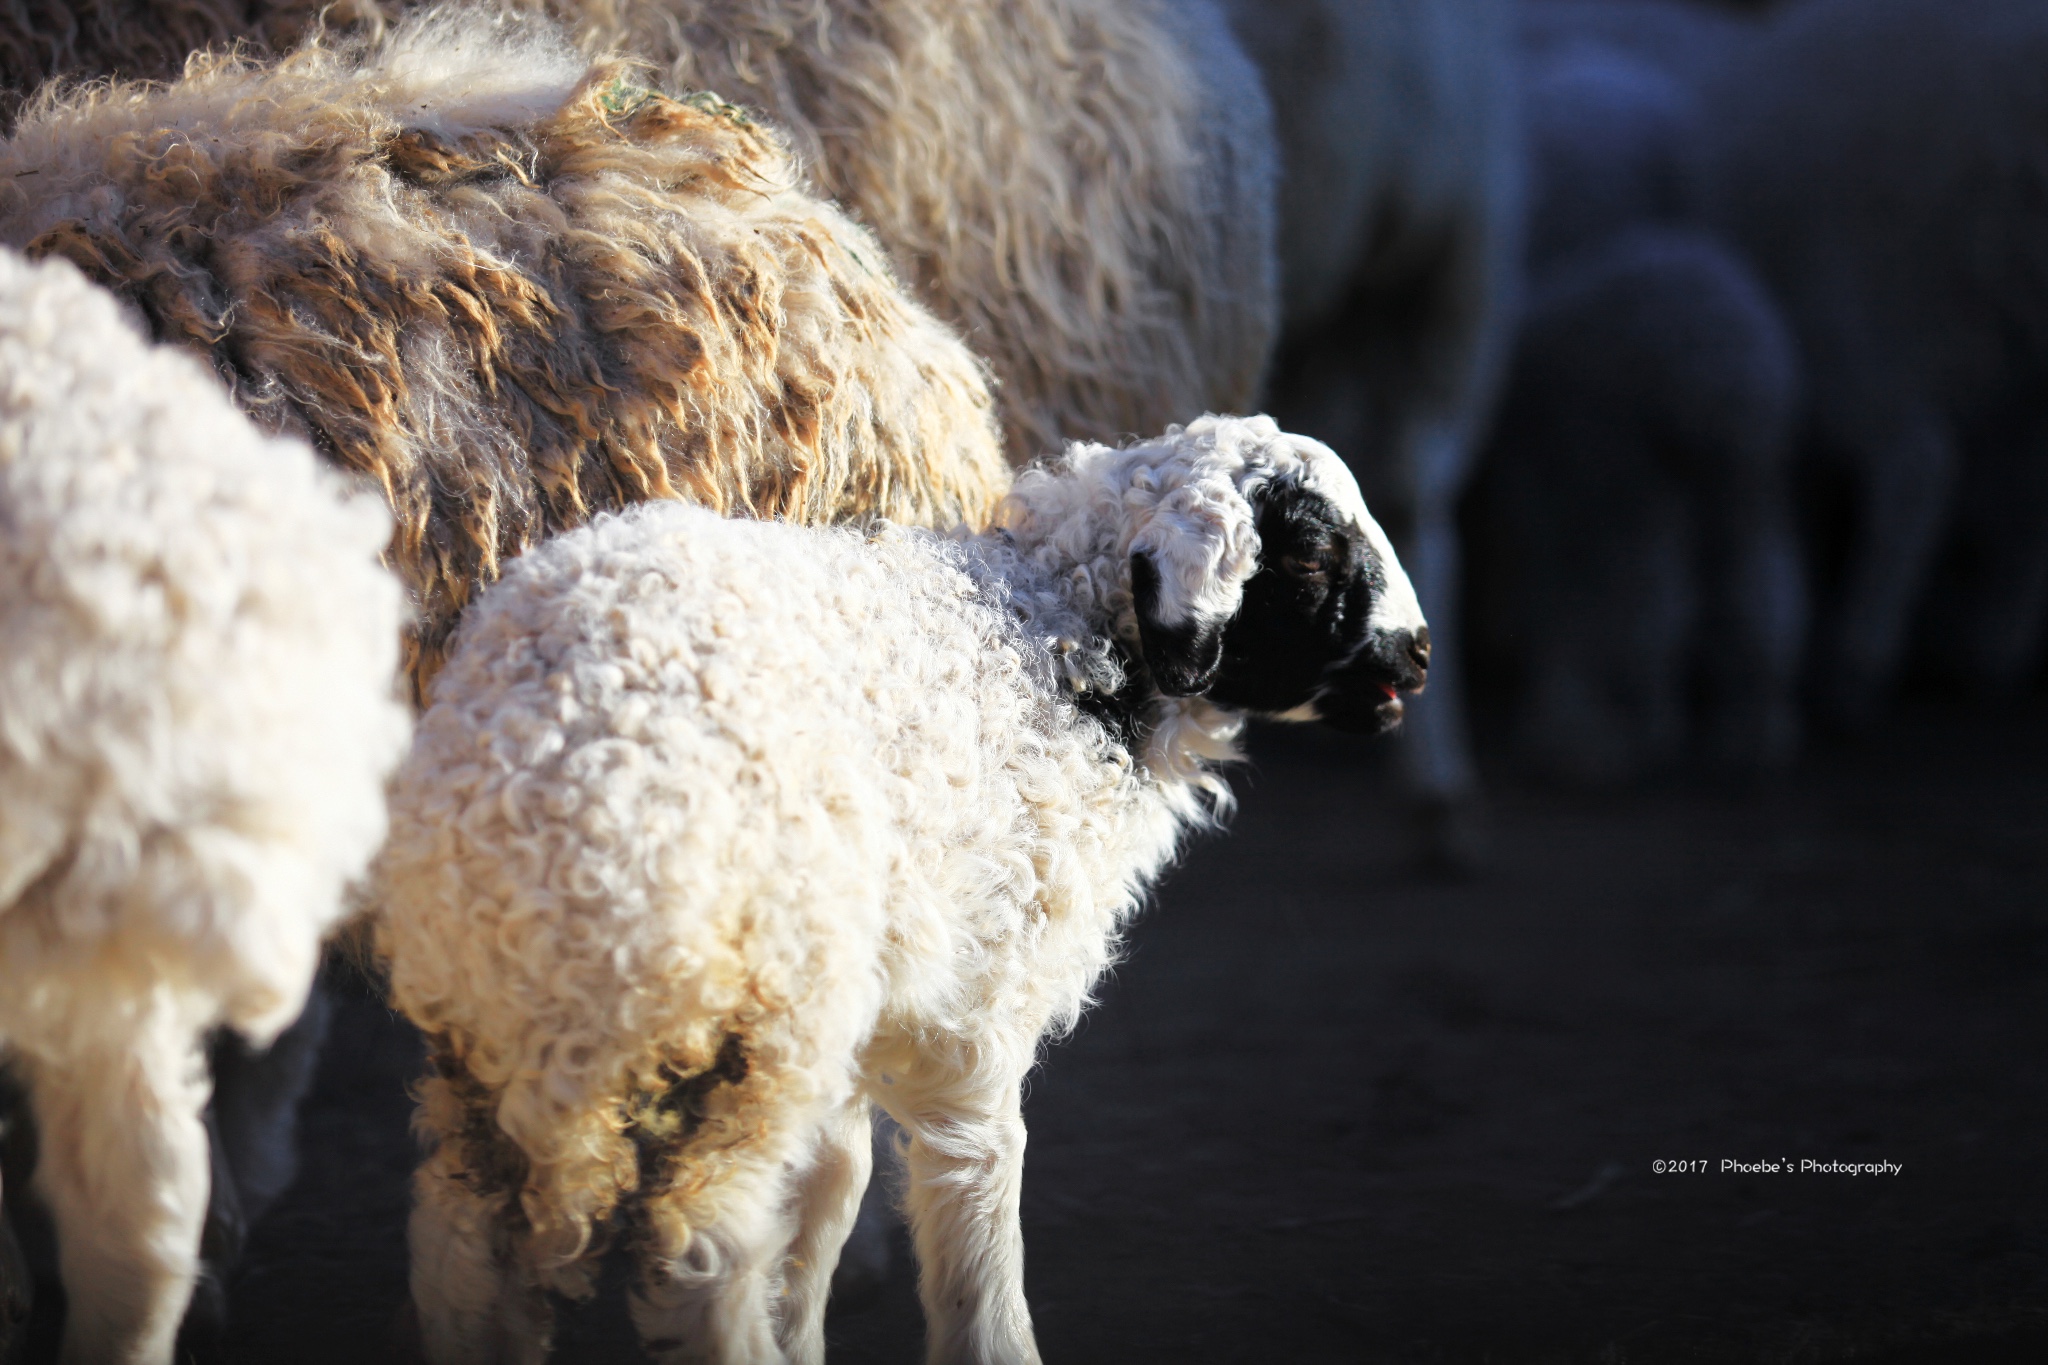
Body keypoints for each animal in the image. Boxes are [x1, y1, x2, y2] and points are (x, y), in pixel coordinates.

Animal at [372, 413, 1425, 1365]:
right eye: (1313, 558)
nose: (1417, 653)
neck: (1064, 641)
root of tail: (560, 786)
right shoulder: (979, 1002)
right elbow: (975, 1194)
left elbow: (827, 1203)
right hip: (764, 1015)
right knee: (702, 1254)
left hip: (485, 1023)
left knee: (461, 1242)